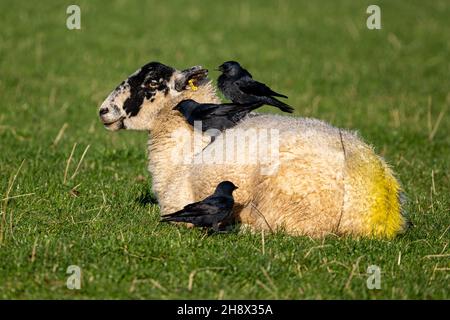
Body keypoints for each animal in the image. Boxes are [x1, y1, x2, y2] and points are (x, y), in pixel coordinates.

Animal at [98, 61, 408, 239]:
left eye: (152, 82)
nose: (103, 110)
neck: (186, 149)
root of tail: (378, 206)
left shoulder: (179, 203)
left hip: (289, 210)